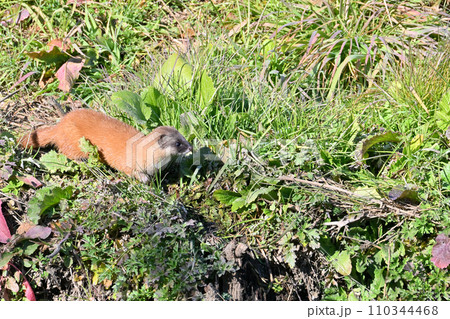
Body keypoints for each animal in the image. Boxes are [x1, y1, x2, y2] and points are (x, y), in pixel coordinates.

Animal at [20, 109, 192, 182]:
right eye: (178, 143)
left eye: (184, 137)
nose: (191, 147)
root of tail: (60, 125)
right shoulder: (128, 163)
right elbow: (132, 172)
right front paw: (145, 179)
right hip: (75, 143)